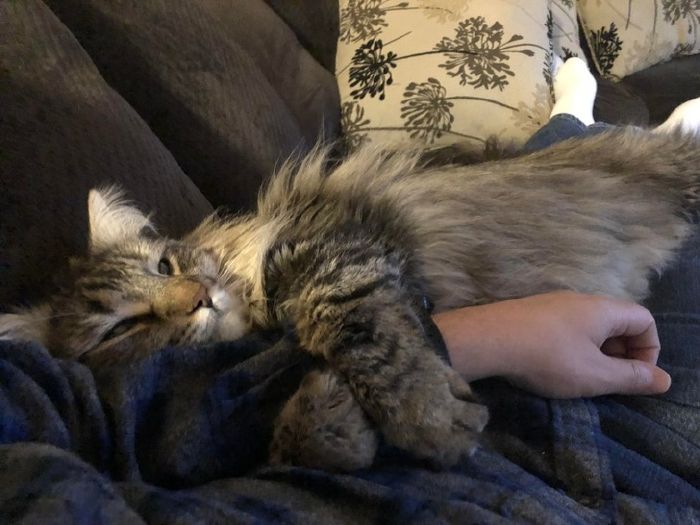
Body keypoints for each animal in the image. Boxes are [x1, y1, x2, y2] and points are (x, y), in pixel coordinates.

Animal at [2, 126, 700, 471]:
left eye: (165, 264)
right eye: (119, 330)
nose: (198, 296)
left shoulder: (342, 249)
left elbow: (358, 330)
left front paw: (423, 417)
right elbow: (291, 443)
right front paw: (335, 421)